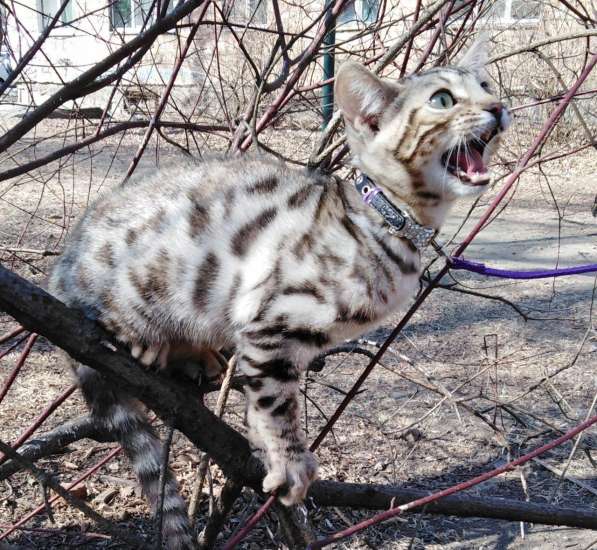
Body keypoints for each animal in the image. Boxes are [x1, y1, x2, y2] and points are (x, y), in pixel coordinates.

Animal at [49, 41, 510, 548]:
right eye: (443, 100)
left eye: (486, 85)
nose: (497, 106)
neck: (391, 223)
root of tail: (60, 269)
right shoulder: (272, 324)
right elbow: (276, 403)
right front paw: (290, 463)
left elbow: (265, 406)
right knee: (109, 315)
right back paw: (143, 340)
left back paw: (197, 357)